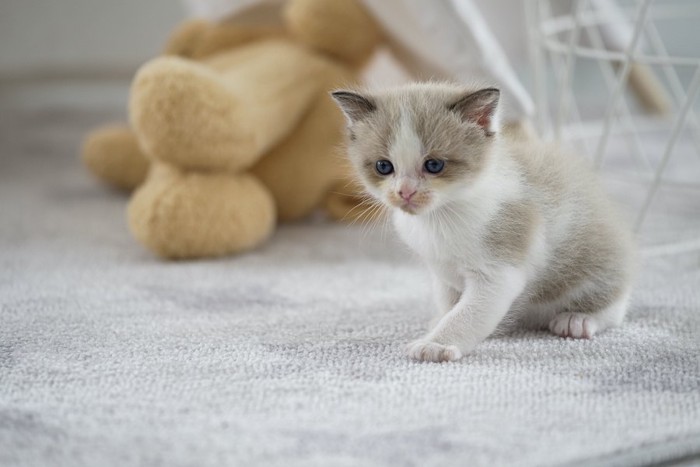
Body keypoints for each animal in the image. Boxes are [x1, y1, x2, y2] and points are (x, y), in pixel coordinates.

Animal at [332, 82, 636, 364]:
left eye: (434, 165)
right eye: (384, 166)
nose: (405, 192)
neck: (440, 217)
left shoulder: (499, 268)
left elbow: (469, 313)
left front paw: (437, 344)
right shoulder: (441, 271)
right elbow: (449, 303)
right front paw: (438, 322)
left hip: (597, 267)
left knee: (615, 307)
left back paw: (579, 319)